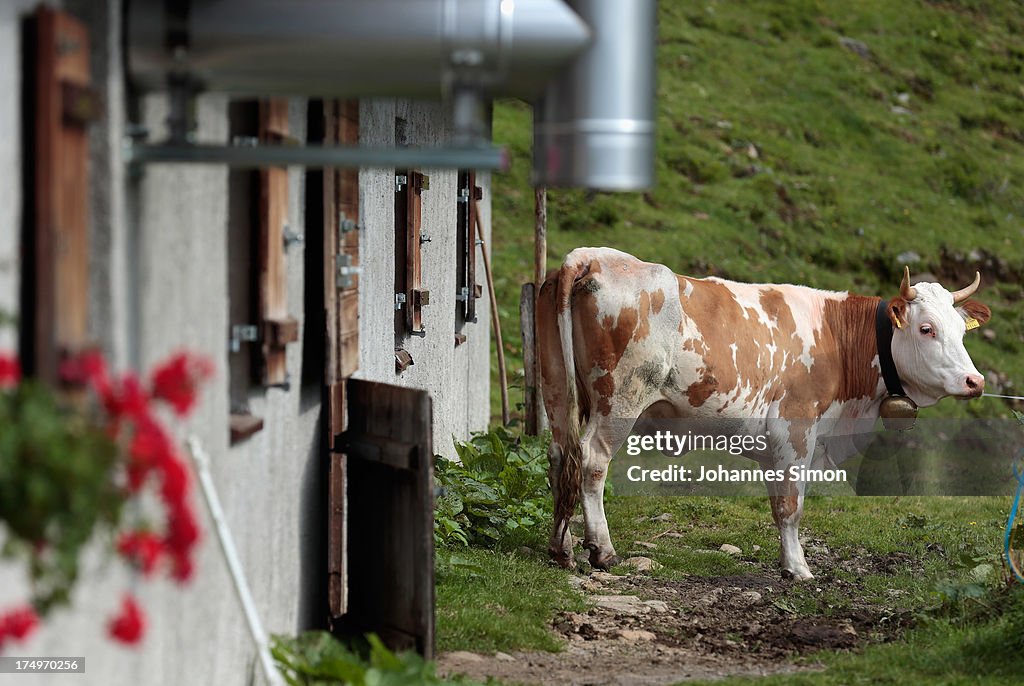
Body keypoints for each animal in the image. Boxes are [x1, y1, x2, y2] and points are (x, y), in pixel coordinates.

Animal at [536, 247, 991, 581]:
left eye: (960, 330)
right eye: (927, 329)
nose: (975, 380)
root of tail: (591, 256)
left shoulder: (777, 445)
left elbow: (777, 504)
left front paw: (787, 563)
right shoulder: (796, 428)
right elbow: (791, 505)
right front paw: (800, 569)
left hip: (556, 389)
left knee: (561, 456)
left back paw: (562, 548)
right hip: (621, 398)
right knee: (592, 461)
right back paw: (602, 550)